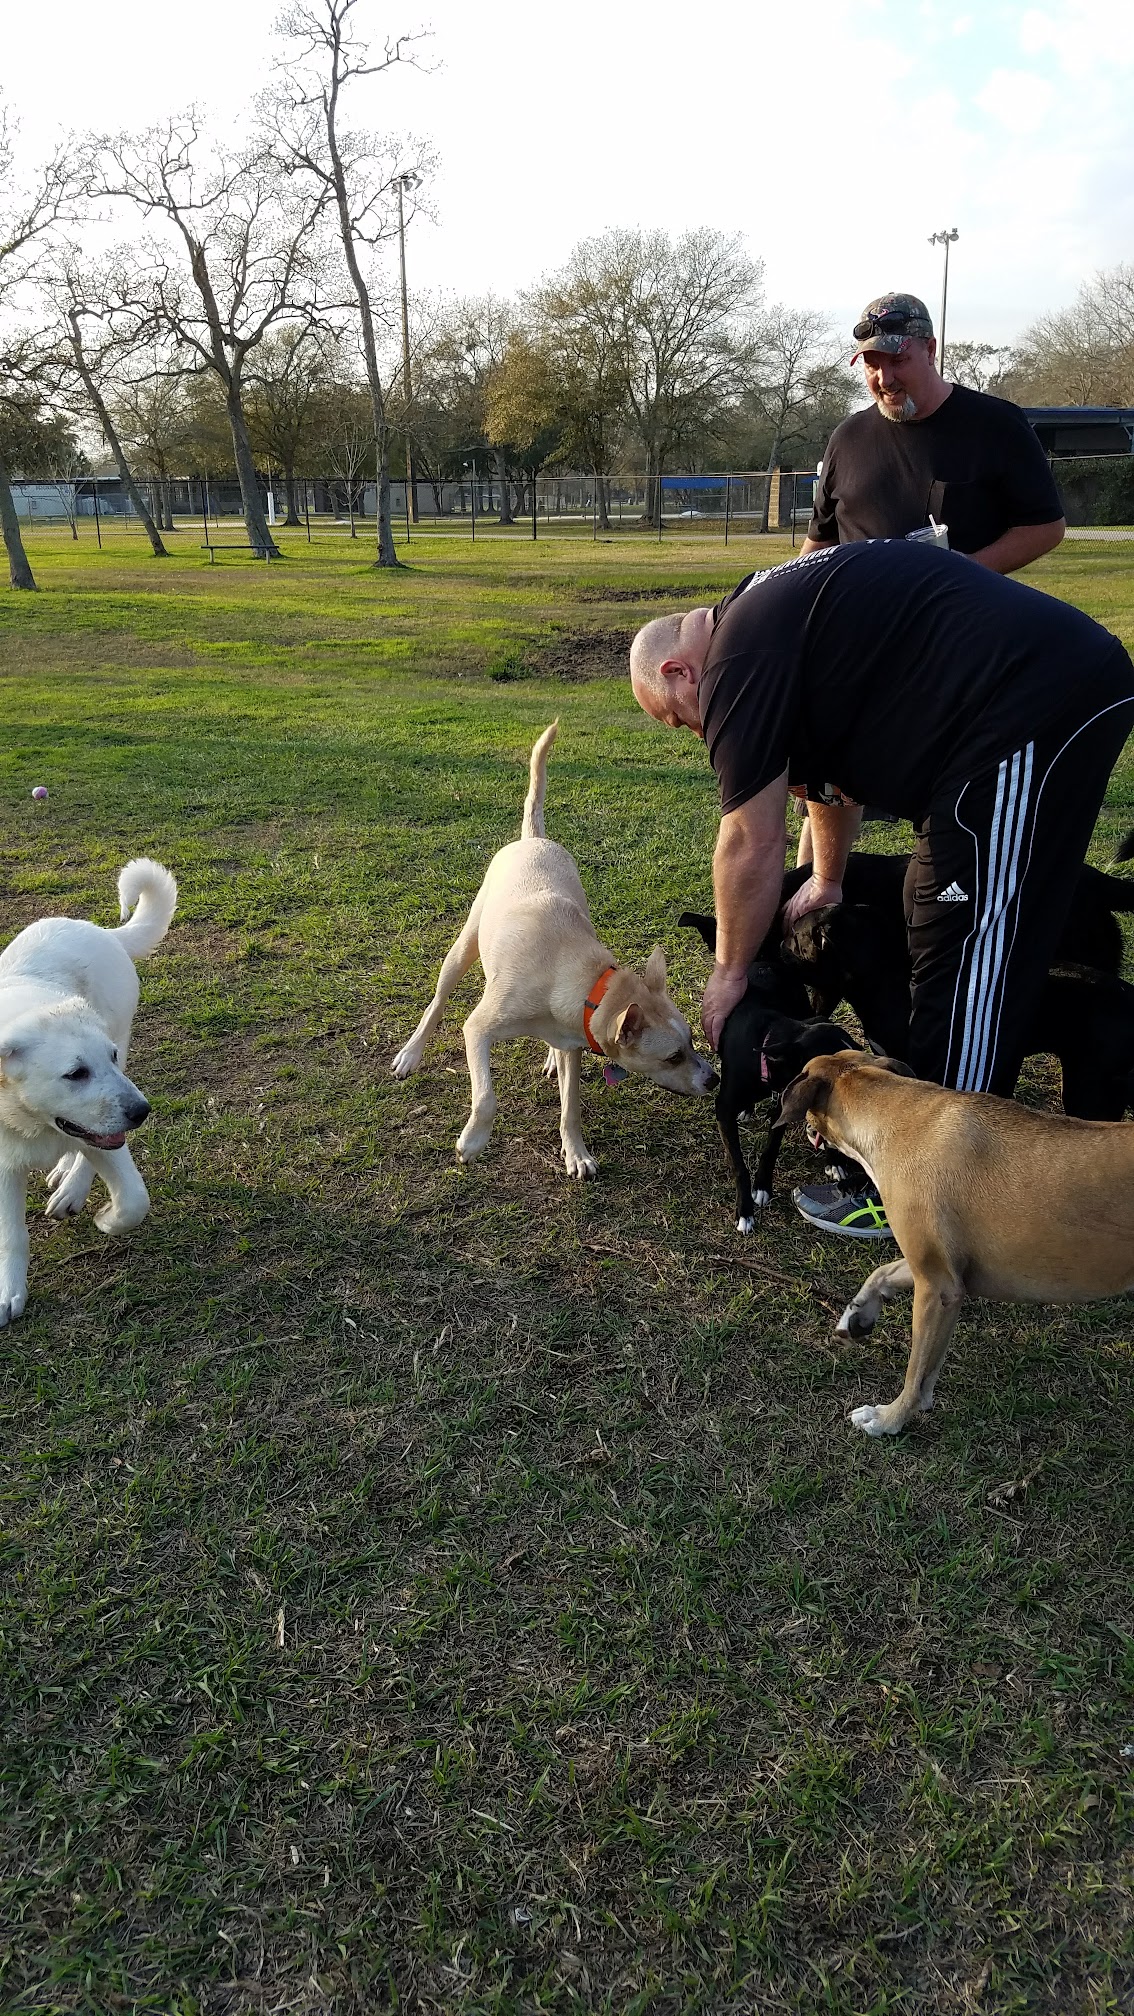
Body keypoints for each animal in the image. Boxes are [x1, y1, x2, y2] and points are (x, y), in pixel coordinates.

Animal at [0, 858, 177, 1327]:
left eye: (109, 1058)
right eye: (75, 1073)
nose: (142, 1112)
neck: (28, 1119)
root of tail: (97, 929)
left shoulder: (110, 1132)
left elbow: (134, 1201)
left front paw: (105, 1220)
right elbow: (11, 1234)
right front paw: (8, 1293)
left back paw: (70, 1187)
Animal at [393, 725, 717, 1175]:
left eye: (691, 1041)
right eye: (672, 1057)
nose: (714, 1079)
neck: (575, 976)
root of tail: (534, 838)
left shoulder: (572, 1042)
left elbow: (571, 1107)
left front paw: (576, 1152)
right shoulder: (479, 1029)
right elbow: (486, 1095)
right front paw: (473, 1141)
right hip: (463, 949)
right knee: (436, 1004)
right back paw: (411, 1053)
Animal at [778, 1050, 1134, 1436]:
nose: (806, 1129)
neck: (894, 1114)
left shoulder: (937, 1288)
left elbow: (915, 1372)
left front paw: (889, 1418)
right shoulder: (944, 1274)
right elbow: (884, 1276)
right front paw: (856, 1316)